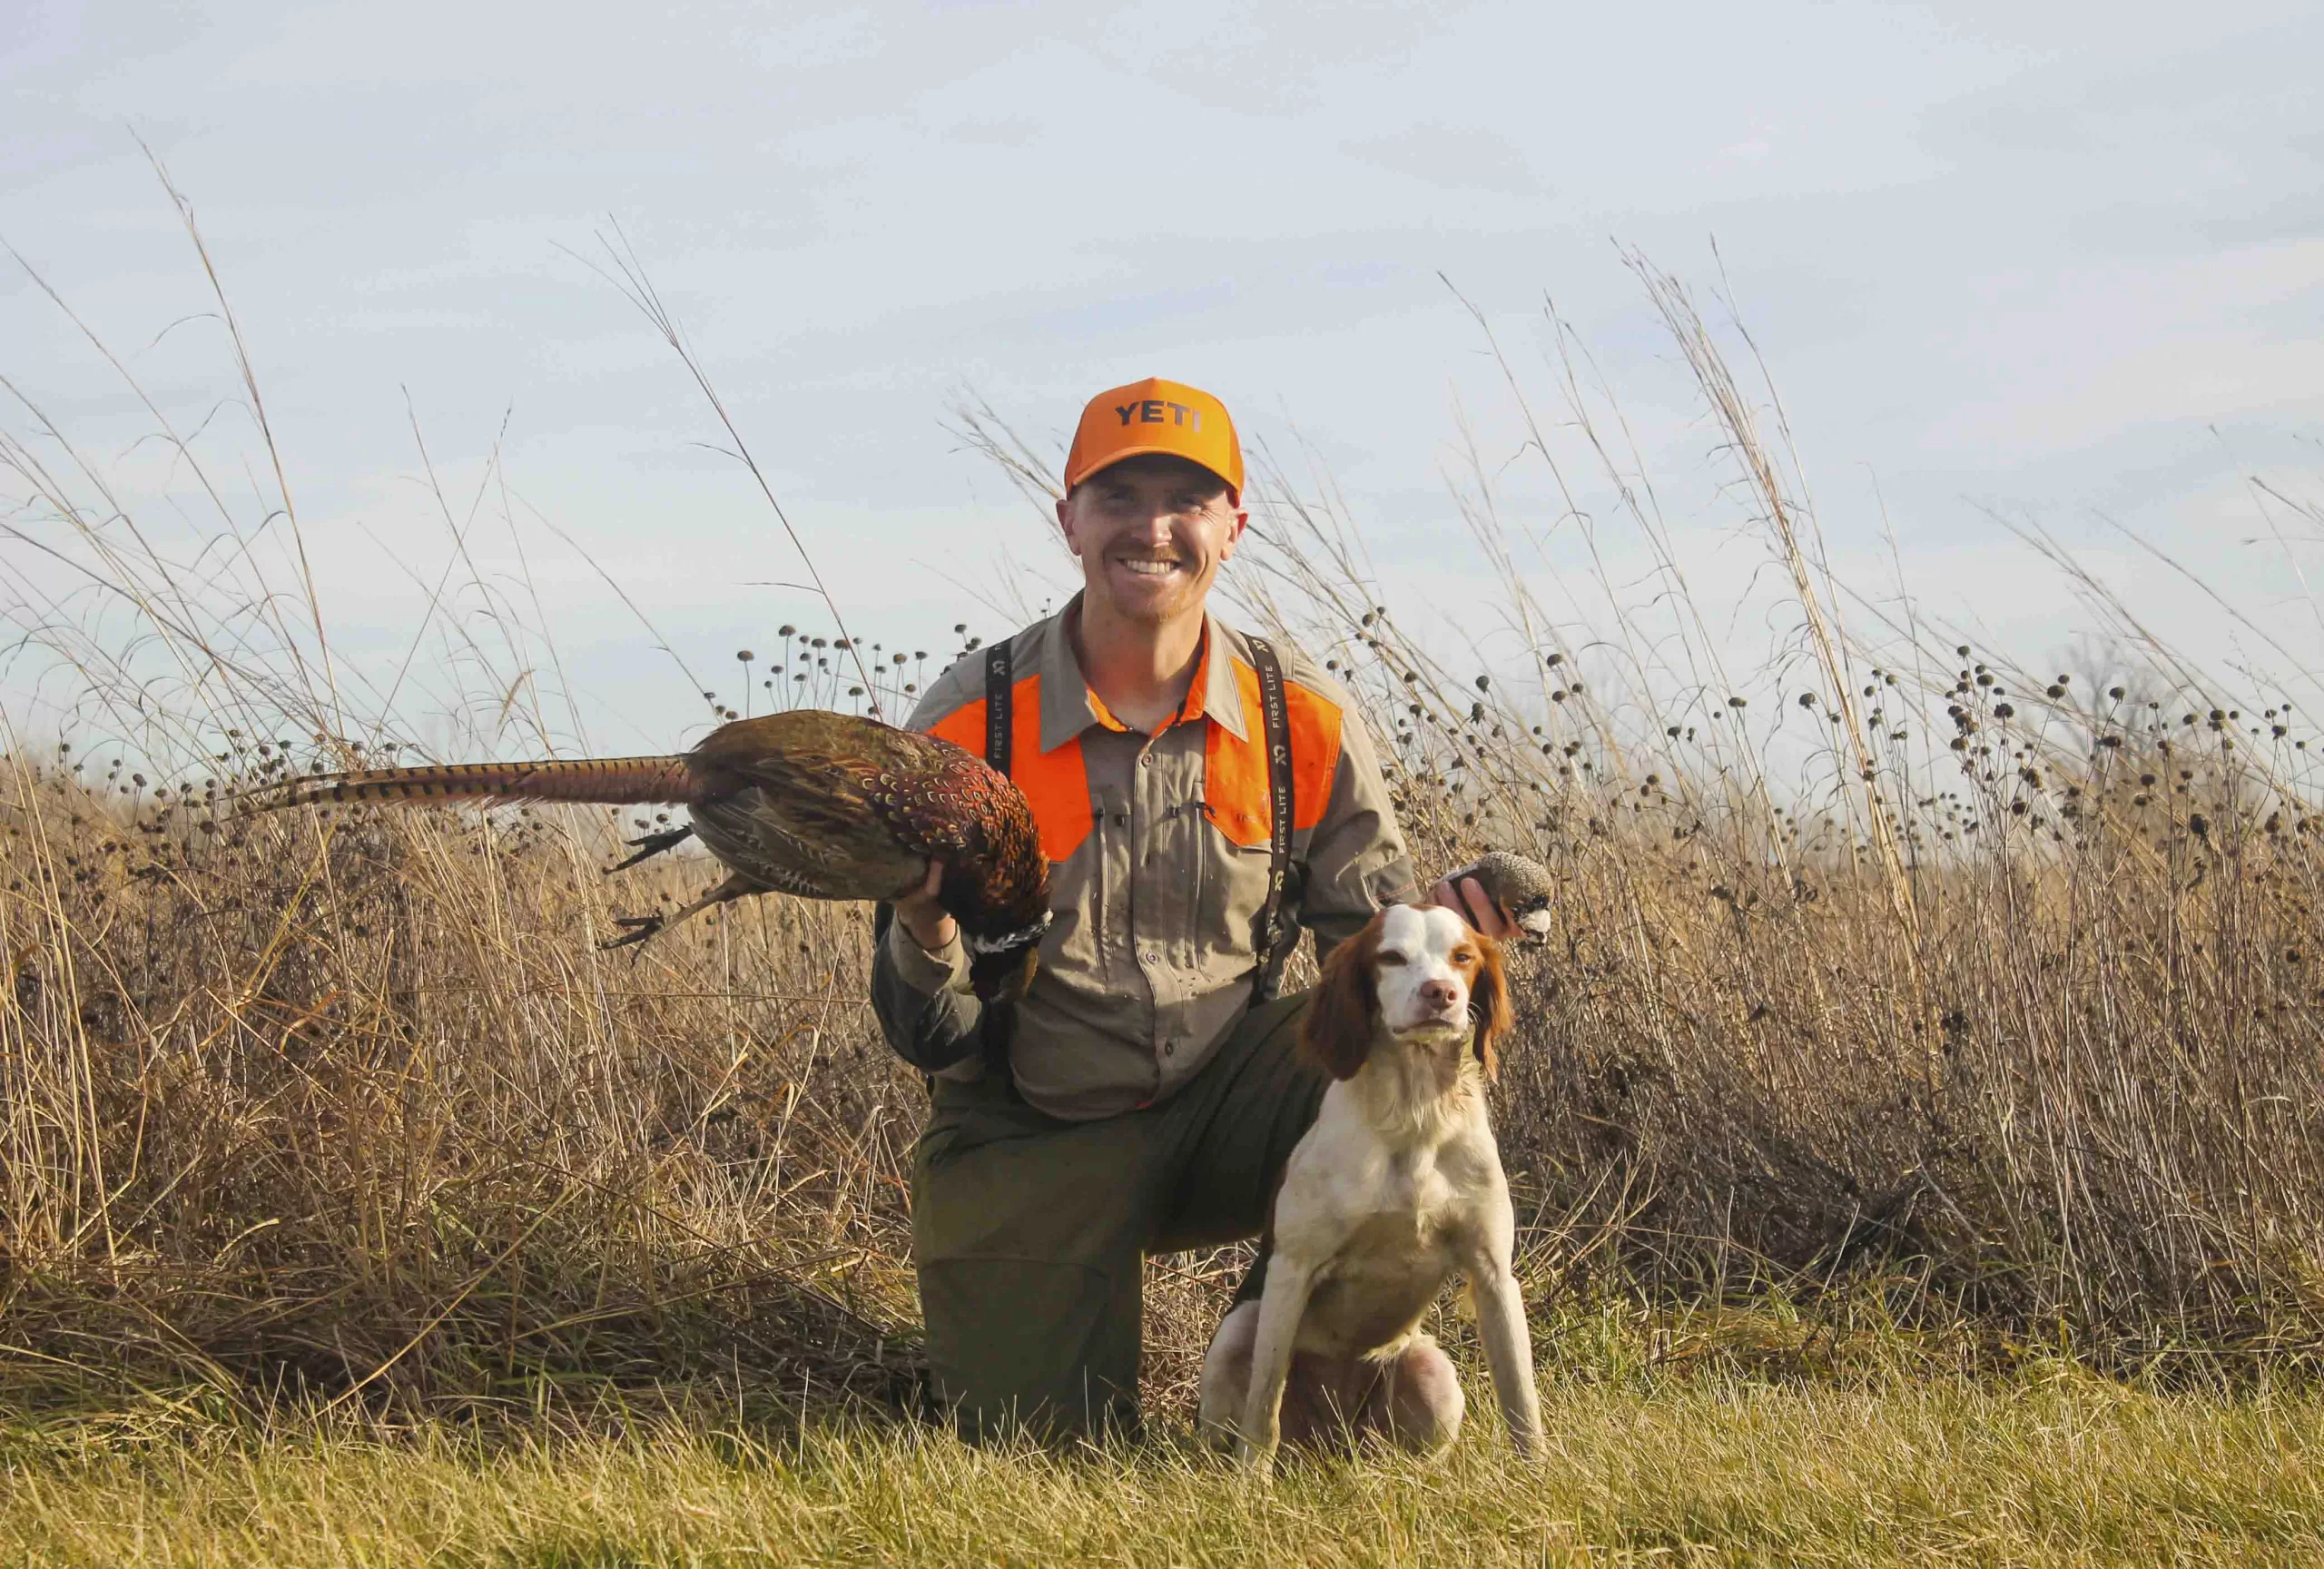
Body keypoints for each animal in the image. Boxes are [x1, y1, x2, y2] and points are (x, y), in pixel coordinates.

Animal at [1198, 906, 1542, 1468]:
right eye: (1392, 957)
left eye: (1463, 957)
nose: (1441, 993)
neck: (1416, 1115)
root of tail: (1332, 1441)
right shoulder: (1292, 1270)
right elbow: (1264, 1409)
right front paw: (1253, 1481)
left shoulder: (1493, 1274)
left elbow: (1521, 1401)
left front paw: (1536, 1473)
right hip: (1238, 1331)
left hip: (1433, 1371)